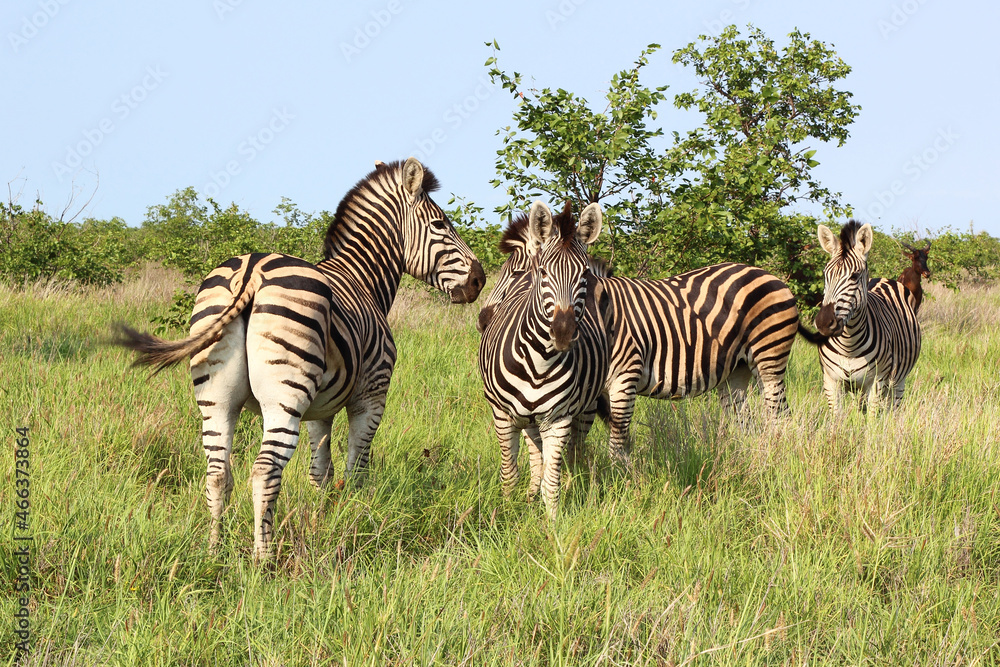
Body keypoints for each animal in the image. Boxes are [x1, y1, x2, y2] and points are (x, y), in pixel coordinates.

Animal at [115, 158, 485, 560]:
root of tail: (250, 270)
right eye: (441, 224)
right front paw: (357, 523)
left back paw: (215, 551)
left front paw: (323, 523)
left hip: (217, 397)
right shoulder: (371, 396)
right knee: (264, 471)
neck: (363, 280)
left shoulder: (319, 409)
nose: (479, 280)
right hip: (285, 397)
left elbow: (320, 471)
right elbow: (356, 469)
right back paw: (263, 560)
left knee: (217, 472)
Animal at [478, 200, 611, 516]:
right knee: (534, 454)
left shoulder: (558, 419)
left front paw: (553, 525)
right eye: (543, 272)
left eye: (583, 276)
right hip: (525, 418)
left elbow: (553, 482)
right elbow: (509, 474)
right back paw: (528, 496)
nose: (562, 333)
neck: (539, 363)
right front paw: (505, 515)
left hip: (584, 409)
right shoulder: (503, 415)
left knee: (574, 454)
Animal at [480, 213, 800, 464]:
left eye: (517, 273)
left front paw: (616, 486)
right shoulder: (590, 392)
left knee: (780, 416)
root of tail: (771, 276)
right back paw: (748, 458)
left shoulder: (624, 377)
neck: (601, 314)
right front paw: (581, 479)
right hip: (736, 373)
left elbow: (615, 443)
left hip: (769, 359)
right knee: (747, 421)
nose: (482, 320)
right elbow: (580, 441)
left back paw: (777, 459)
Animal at [798, 220, 921, 412]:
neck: (849, 346)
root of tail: (884, 278)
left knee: (892, 408)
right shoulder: (831, 382)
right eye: (825, 274)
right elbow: (837, 417)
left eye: (854, 276)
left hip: (898, 381)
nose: (824, 322)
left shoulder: (877, 382)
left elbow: (872, 418)